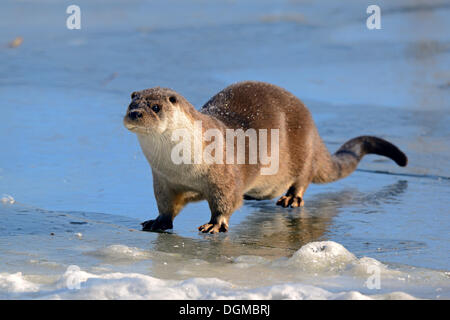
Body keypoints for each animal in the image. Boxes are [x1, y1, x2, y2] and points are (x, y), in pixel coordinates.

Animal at [124, 81, 408, 234]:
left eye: (156, 107)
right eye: (131, 104)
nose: (135, 114)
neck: (181, 165)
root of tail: (313, 126)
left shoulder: (223, 174)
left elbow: (225, 202)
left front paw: (215, 225)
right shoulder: (162, 180)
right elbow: (165, 205)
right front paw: (158, 221)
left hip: (303, 147)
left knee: (303, 178)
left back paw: (292, 198)